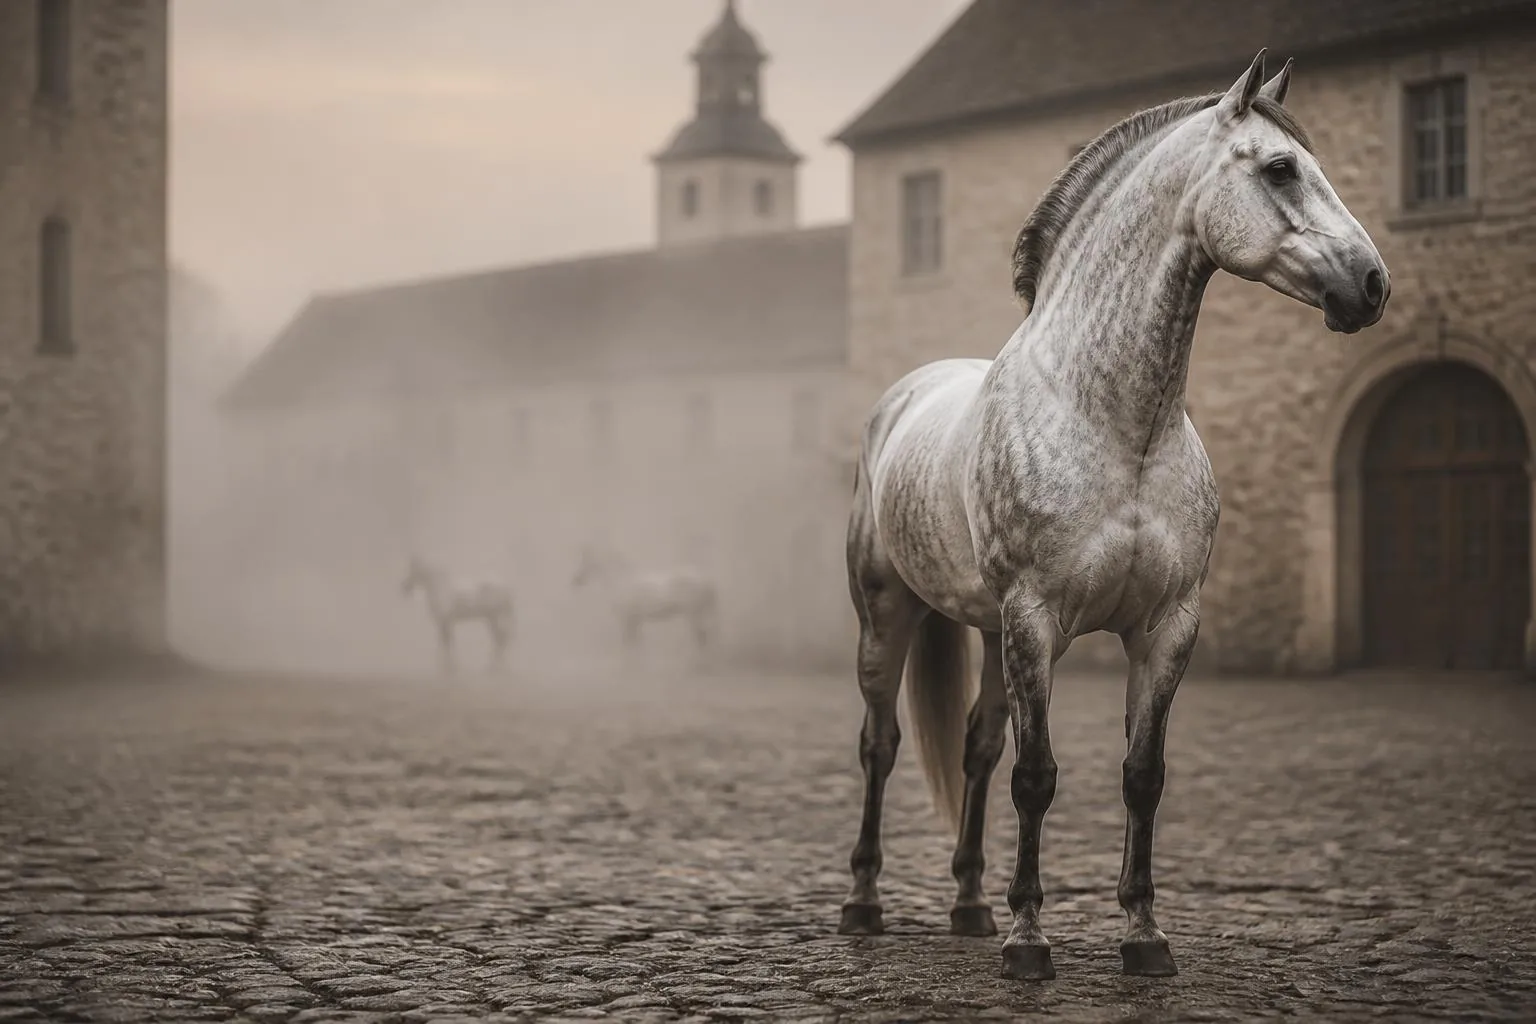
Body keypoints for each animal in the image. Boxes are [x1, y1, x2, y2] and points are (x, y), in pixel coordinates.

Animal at [571, 546, 719, 654]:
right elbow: (636, 644)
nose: (576, 580)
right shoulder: (635, 620)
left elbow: (630, 644)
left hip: (694, 614)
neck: (621, 581)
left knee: (702, 637)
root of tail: (707, 579)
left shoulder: (627, 620)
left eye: (586, 562)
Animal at [839, 51, 1389, 982]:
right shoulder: (1035, 620)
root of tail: (901, 398)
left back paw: (970, 906)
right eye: (1281, 169)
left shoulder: (1166, 626)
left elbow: (1141, 774)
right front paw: (1030, 942)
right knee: (880, 745)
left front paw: (1143, 937)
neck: (1118, 425)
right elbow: (1037, 777)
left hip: (986, 629)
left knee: (976, 747)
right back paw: (865, 903)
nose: (1373, 284)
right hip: (891, 616)